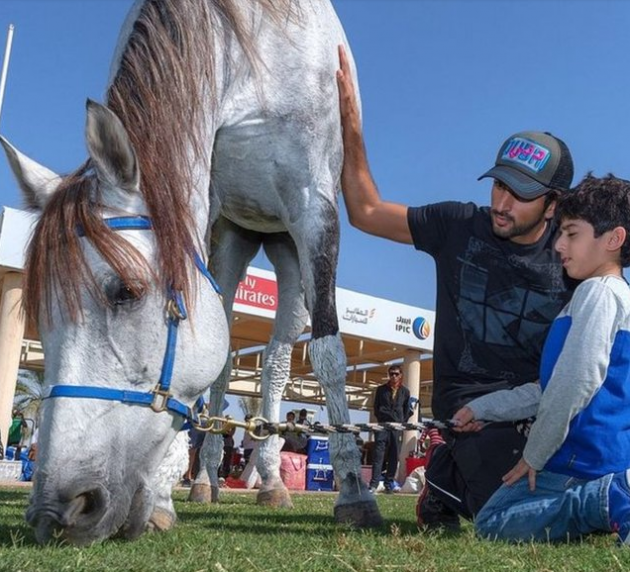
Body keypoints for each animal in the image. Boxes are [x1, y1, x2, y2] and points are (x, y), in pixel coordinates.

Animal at [0, 0, 380, 544]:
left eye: (125, 290)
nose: (57, 510)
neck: (250, 43)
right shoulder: (200, 202)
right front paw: (163, 494)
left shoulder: (315, 210)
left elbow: (328, 353)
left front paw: (353, 489)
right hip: (232, 241)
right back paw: (205, 480)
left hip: (285, 248)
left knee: (278, 362)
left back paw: (270, 482)